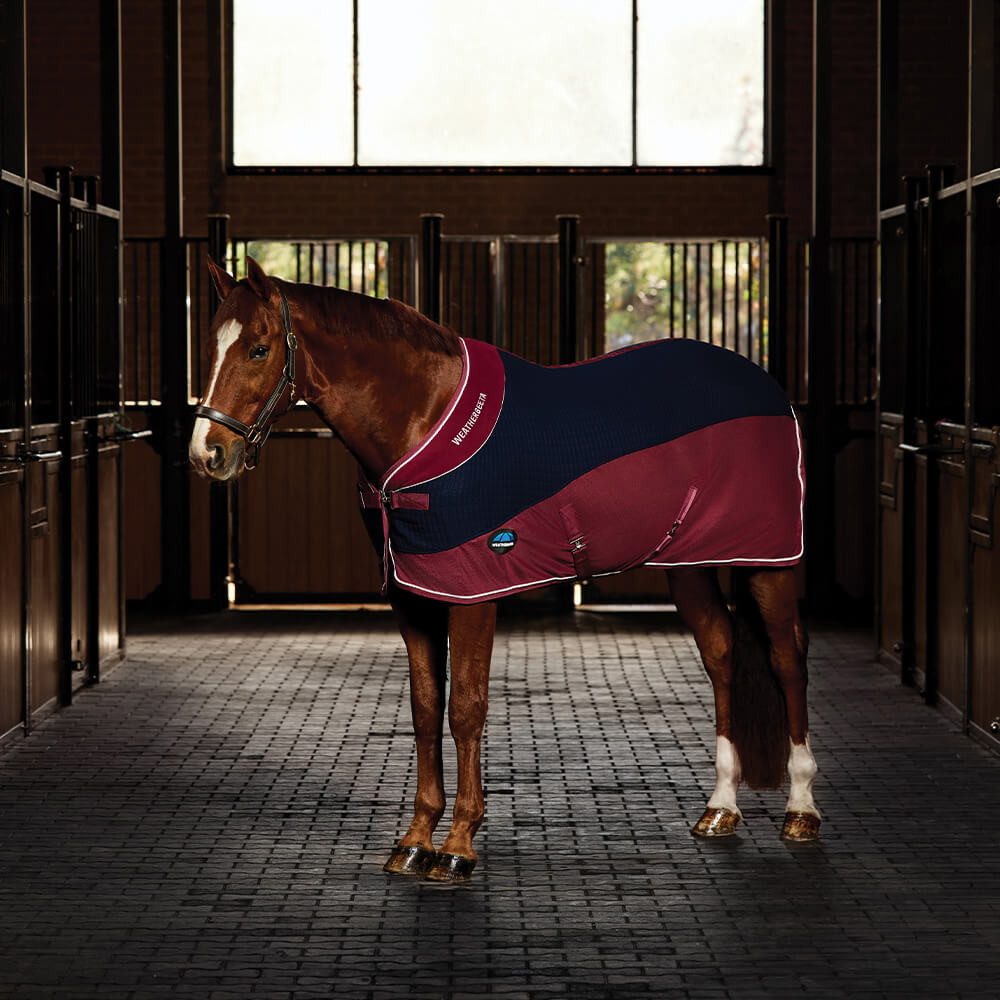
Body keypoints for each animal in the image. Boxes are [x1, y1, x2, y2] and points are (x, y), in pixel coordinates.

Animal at [189, 256, 820, 884]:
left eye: (259, 349)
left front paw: (458, 845)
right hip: (688, 564)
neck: (422, 418)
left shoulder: (472, 592)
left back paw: (801, 810)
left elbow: (466, 710)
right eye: (211, 345)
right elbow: (425, 710)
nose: (207, 454)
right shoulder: (412, 597)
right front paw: (414, 840)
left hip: (769, 561)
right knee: (721, 654)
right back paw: (720, 808)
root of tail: (762, 384)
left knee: (787, 660)